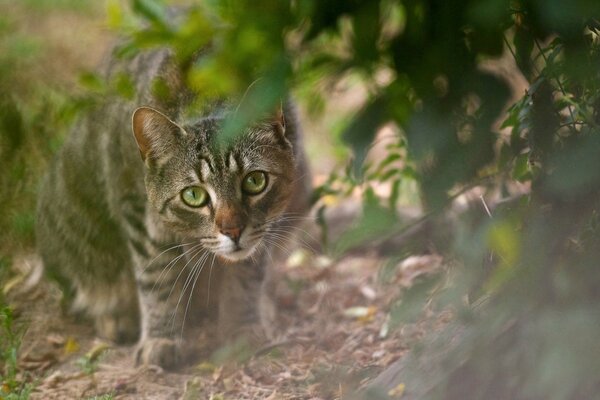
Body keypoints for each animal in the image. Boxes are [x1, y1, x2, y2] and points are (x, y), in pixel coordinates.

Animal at [35, 47, 312, 368]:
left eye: (255, 181)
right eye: (194, 195)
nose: (233, 230)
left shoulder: (269, 223)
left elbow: (247, 275)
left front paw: (242, 326)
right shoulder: (136, 209)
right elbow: (156, 275)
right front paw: (161, 338)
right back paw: (115, 317)